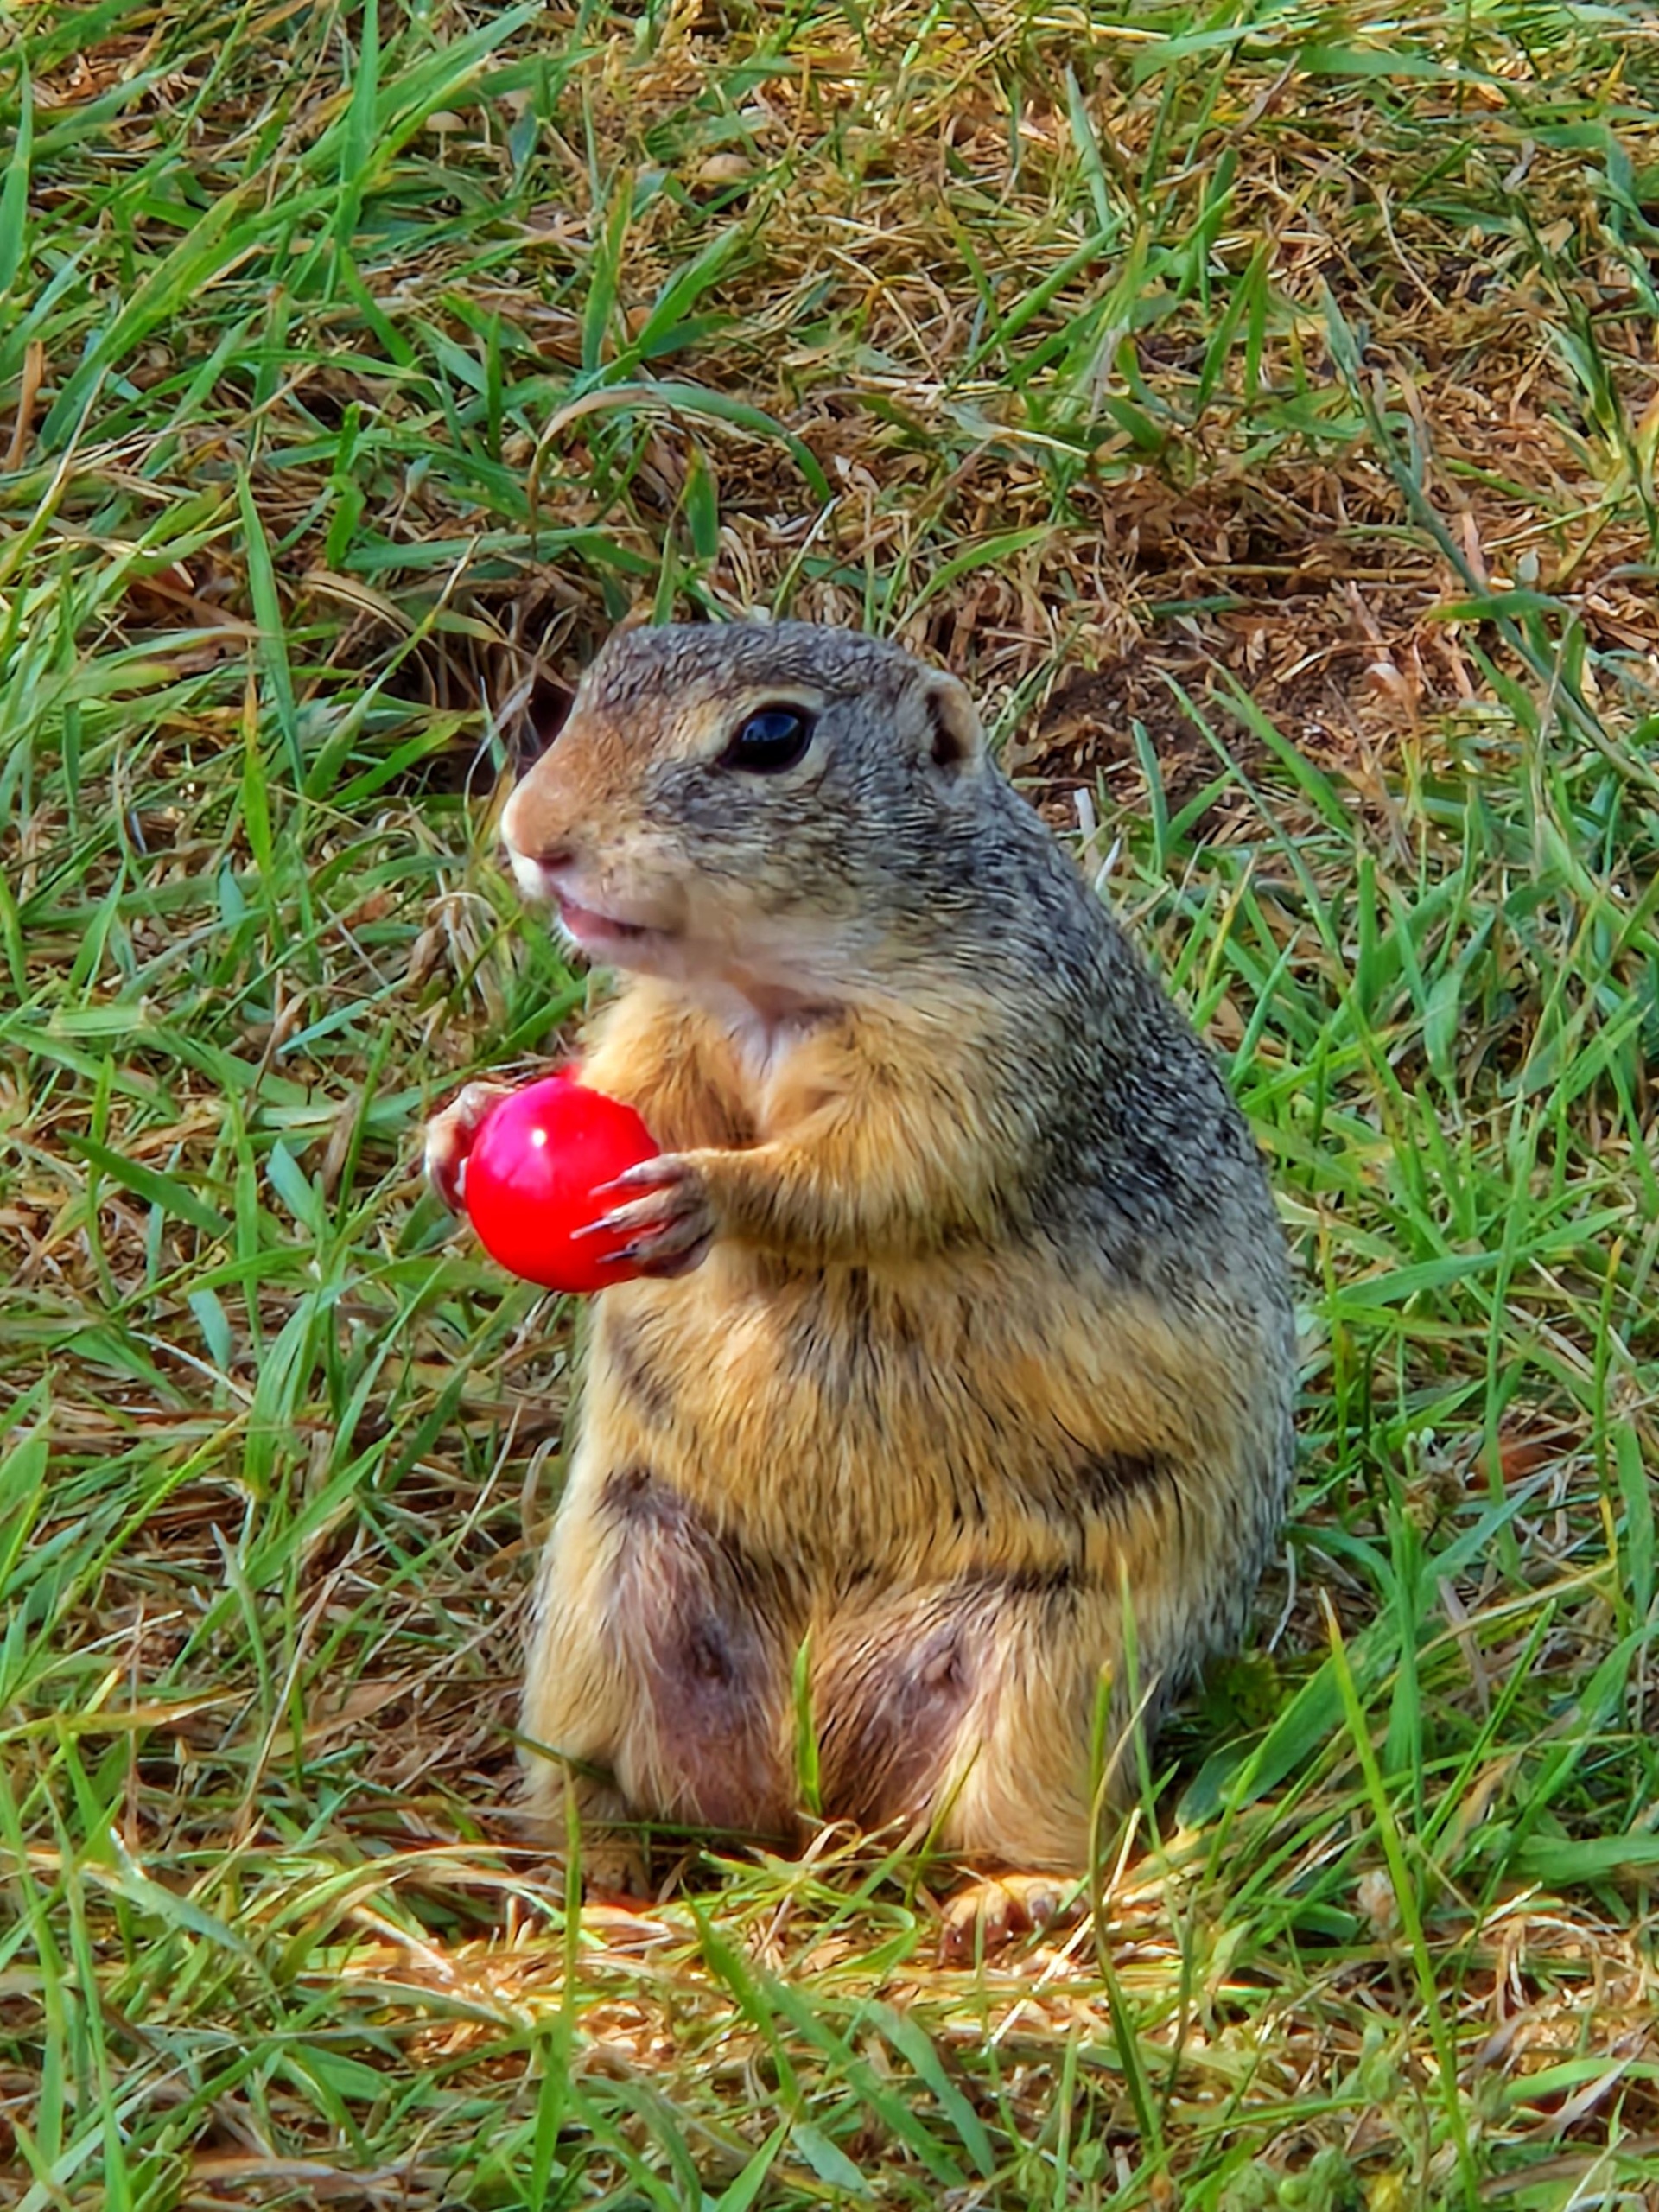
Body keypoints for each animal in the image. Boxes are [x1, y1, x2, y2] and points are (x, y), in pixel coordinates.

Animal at [424, 614, 1300, 1875]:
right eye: (599, 677)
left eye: (772, 737)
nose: (532, 835)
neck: (765, 996)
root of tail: (812, 1796)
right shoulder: (660, 1031)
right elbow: (623, 1090)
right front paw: (460, 1128)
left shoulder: (993, 1045)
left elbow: (880, 1175)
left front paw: (709, 1194)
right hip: (608, 1601)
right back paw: (582, 1881)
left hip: (1058, 1662)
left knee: (1050, 1829)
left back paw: (1009, 1901)